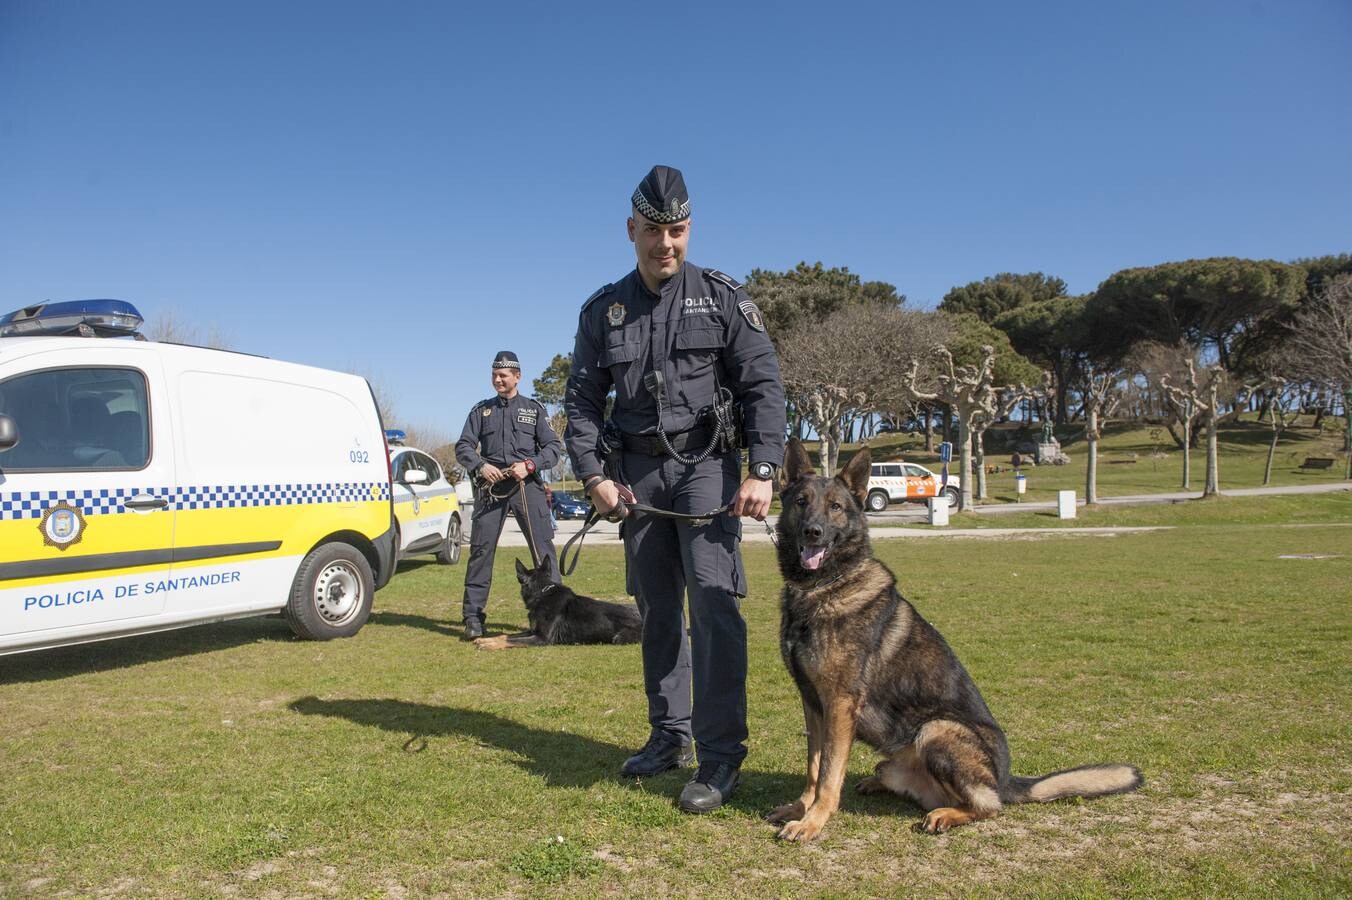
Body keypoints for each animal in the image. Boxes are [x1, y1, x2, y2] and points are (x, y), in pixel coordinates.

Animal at [475, 556, 643, 648]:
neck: (542, 594)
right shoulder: (532, 631)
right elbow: (506, 635)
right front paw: (485, 640)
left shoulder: (542, 638)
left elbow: (511, 641)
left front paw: (490, 645)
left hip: (619, 638)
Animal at [767, 440, 1135, 843]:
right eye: (801, 501)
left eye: (835, 506)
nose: (812, 533)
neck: (823, 588)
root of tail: (1006, 780)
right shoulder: (813, 704)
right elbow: (814, 766)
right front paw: (800, 808)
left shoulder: (839, 704)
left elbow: (829, 773)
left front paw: (814, 820)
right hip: (893, 759)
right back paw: (879, 785)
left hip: (937, 729)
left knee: (990, 806)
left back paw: (946, 813)